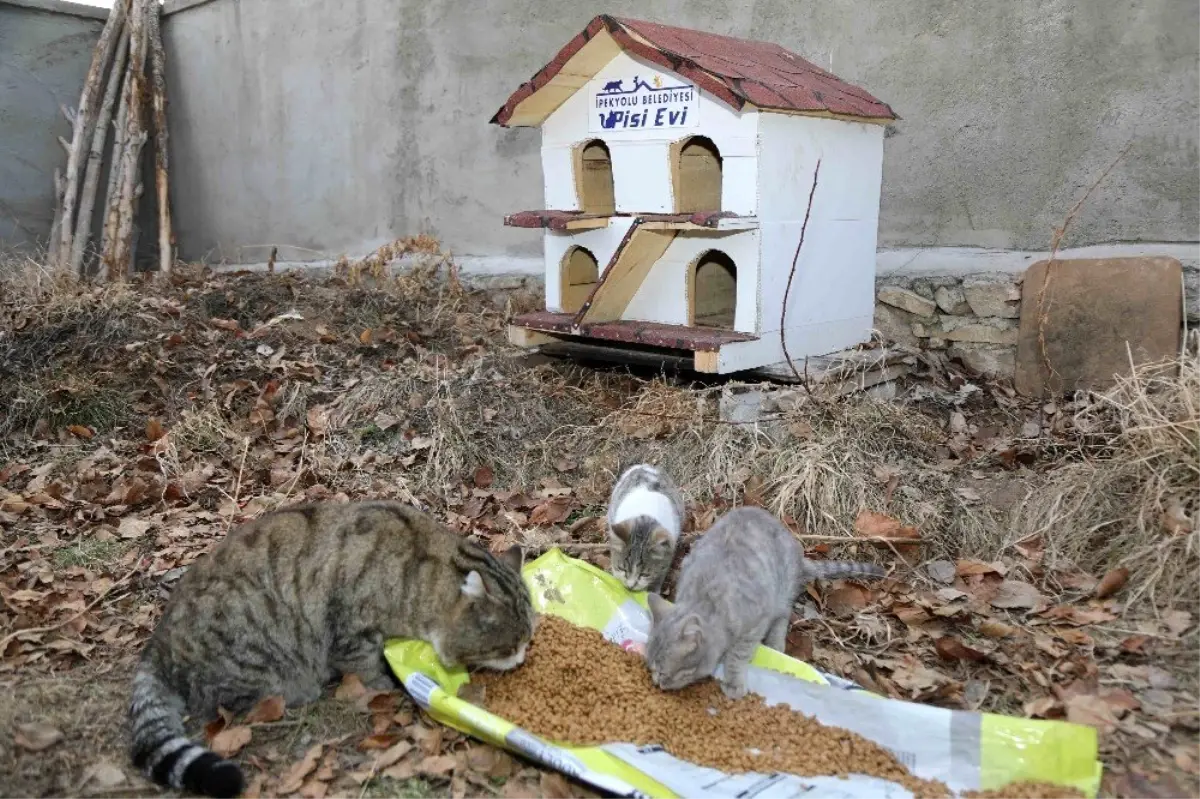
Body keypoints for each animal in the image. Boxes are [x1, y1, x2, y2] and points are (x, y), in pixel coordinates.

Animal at [127, 501, 535, 791]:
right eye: (508, 647)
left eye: (529, 640)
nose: (521, 659)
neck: (417, 568)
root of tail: (155, 646)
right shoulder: (350, 629)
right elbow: (365, 666)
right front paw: (384, 686)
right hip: (250, 654)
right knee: (230, 698)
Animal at [648, 503, 883, 695]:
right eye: (650, 668)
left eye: (663, 672)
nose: (656, 682)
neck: (707, 601)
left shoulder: (754, 625)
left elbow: (737, 656)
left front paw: (733, 682)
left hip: (782, 592)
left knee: (783, 617)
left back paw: (776, 644)